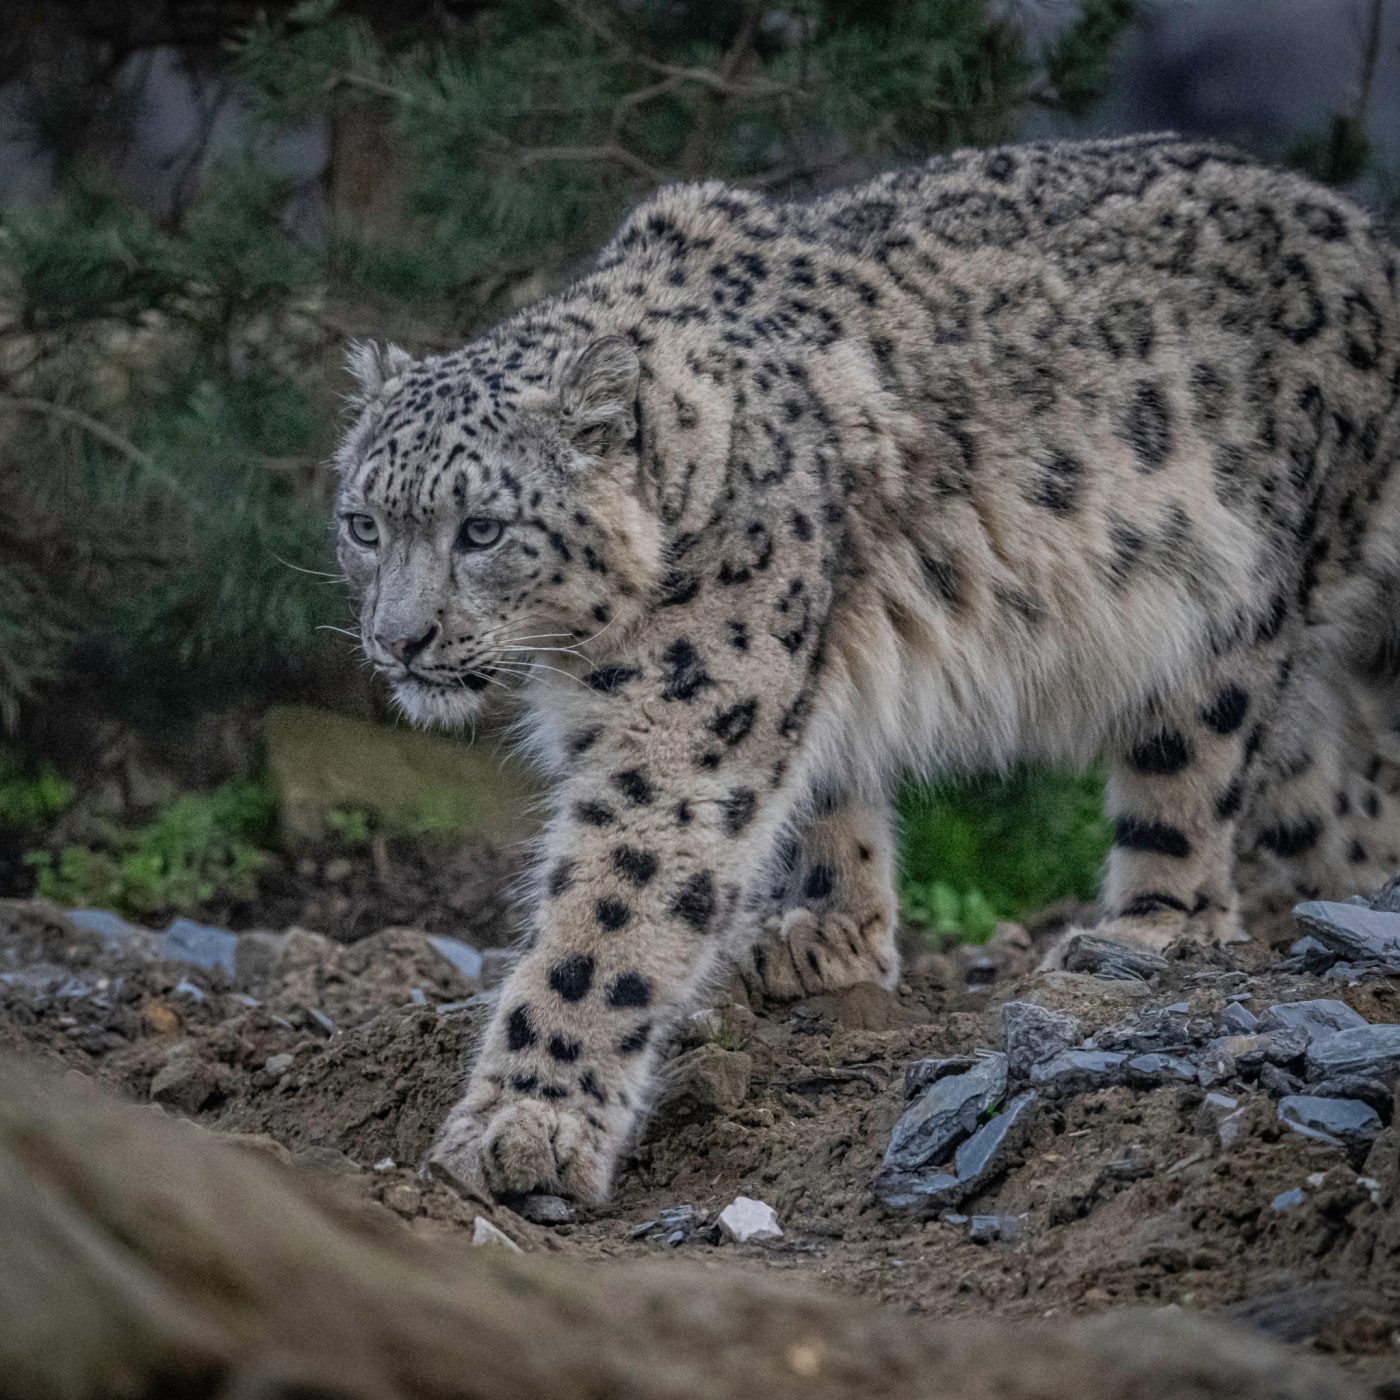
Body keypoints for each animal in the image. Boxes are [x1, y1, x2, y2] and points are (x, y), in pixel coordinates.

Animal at [332, 133, 1400, 1204]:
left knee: (1193, 795)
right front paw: (830, 939)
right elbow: (831, 792)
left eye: (482, 528)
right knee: (1347, 799)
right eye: (362, 523)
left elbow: (610, 913)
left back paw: (1140, 934)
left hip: (1225, 608)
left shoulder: (685, 723)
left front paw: (526, 1122)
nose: (397, 641)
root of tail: (1366, 231)